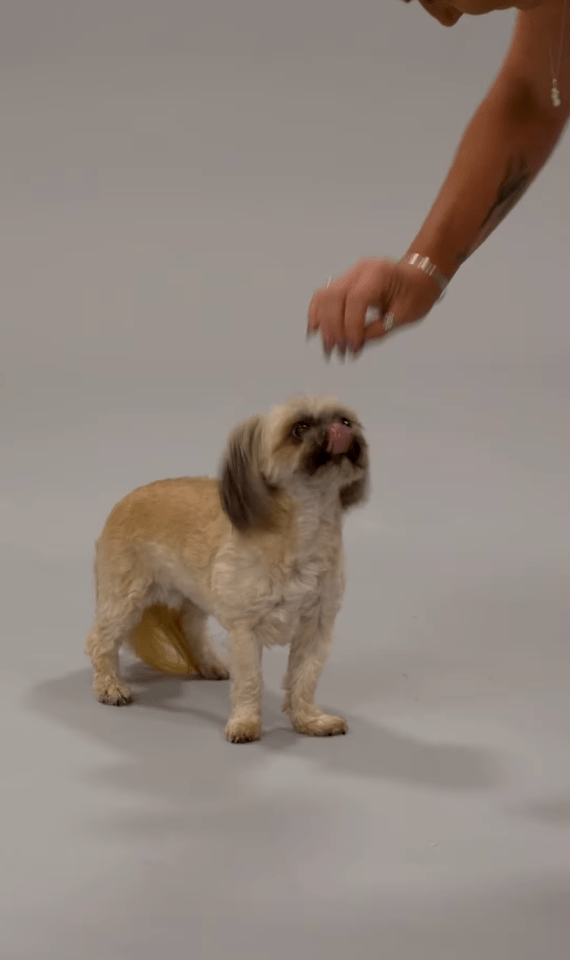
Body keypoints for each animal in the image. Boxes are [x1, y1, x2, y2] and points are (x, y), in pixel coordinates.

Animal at [85, 396, 368, 744]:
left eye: (345, 420)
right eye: (299, 428)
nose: (341, 431)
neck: (303, 530)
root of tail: (125, 500)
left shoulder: (316, 627)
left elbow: (305, 678)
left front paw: (309, 720)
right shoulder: (246, 630)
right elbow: (250, 681)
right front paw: (245, 723)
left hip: (192, 595)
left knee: (190, 629)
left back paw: (208, 664)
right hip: (125, 598)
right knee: (100, 639)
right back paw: (109, 686)